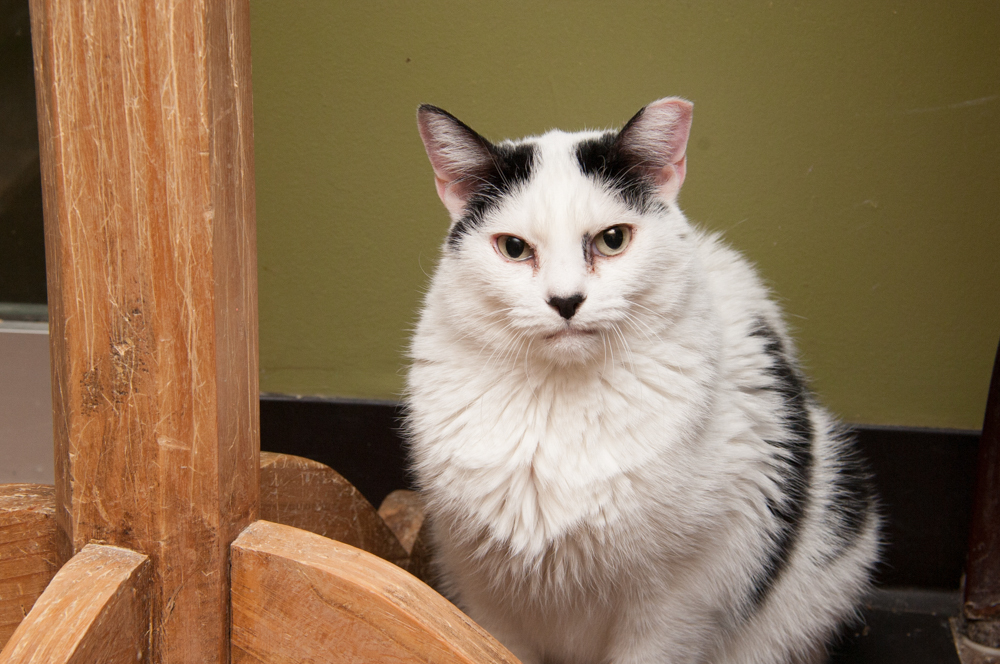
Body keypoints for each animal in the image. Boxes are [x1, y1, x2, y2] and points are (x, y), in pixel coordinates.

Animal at [402, 98, 880, 664]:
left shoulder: (678, 602)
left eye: (613, 239)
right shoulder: (484, 596)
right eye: (514, 248)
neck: (559, 404)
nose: (565, 301)